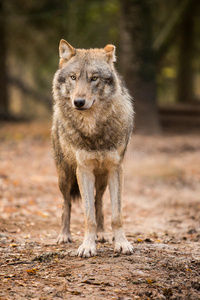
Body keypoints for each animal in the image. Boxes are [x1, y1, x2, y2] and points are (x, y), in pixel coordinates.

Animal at [51, 38, 134, 256]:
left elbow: (116, 215)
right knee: (66, 204)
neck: (93, 129)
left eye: (94, 78)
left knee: (99, 202)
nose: (79, 102)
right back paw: (64, 235)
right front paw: (87, 246)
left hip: (102, 178)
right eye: (73, 77)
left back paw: (103, 234)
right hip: (64, 176)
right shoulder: (84, 170)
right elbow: (88, 217)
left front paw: (121, 243)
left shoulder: (116, 169)